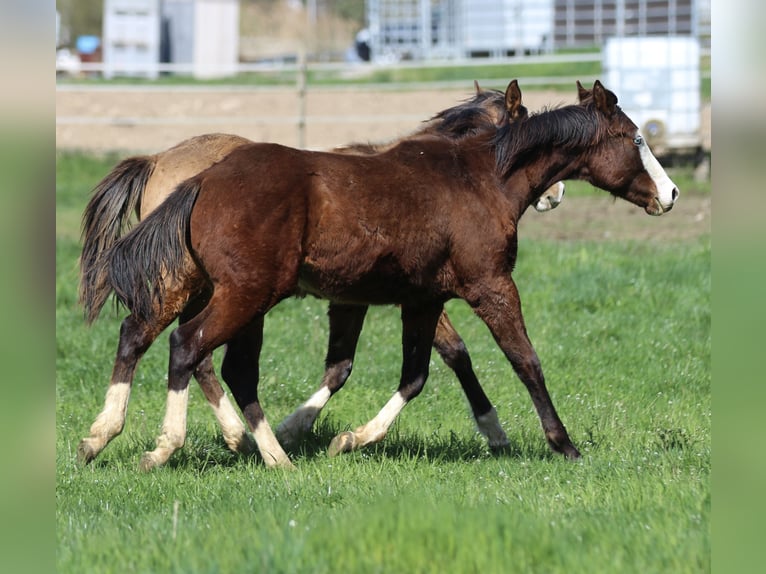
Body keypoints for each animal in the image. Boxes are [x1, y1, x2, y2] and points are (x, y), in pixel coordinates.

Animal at [79, 80, 678, 470]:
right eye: (636, 139)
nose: (670, 194)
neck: (480, 177)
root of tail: (198, 177)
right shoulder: (489, 286)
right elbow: (523, 360)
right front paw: (562, 445)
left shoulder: (417, 299)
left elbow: (410, 373)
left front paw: (348, 439)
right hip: (244, 293)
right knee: (190, 349)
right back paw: (172, 446)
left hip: (204, 287)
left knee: (155, 340)